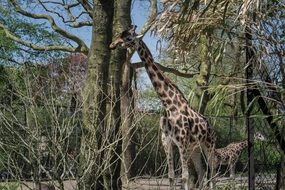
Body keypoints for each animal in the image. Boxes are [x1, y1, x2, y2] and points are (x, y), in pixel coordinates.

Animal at [109, 25, 215, 190]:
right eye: (120, 35)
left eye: (128, 38)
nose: (112, 45)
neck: (169, 105)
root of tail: (209, 124)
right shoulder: (167, 140)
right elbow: (171, 176)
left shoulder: (182, 142)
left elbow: (184, 177)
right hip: (195, 148)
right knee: (202, 171)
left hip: (208, 144)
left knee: (213, 172)